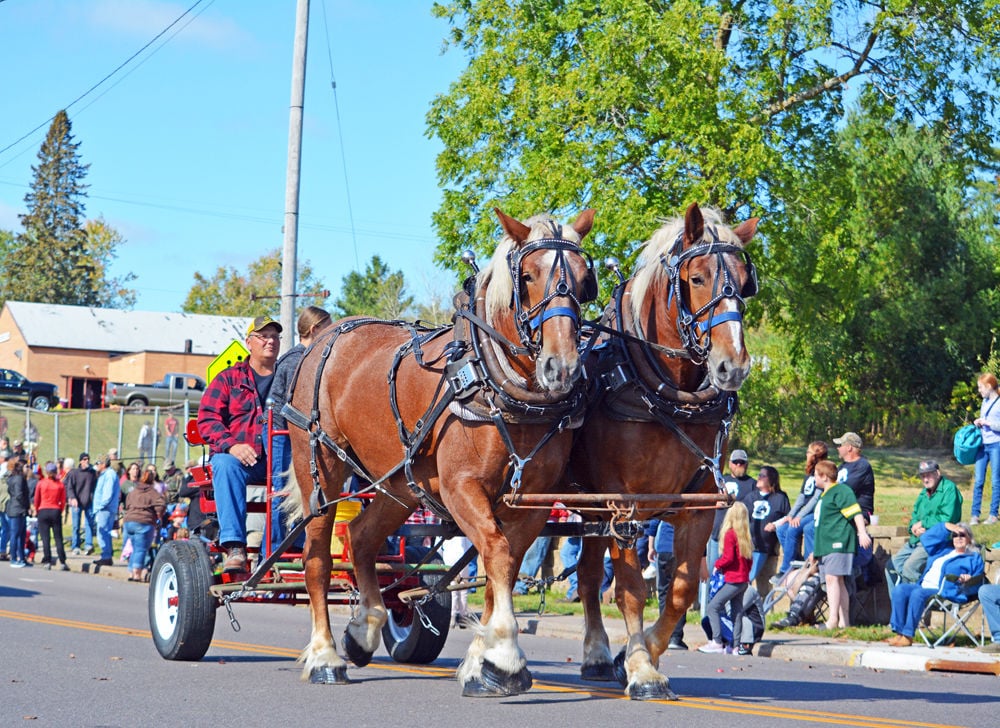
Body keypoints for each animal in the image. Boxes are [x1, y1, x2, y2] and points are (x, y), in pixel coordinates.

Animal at [284, 208, 592, 696]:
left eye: (584, 279)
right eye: (527, 276)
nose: (561, 367)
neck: (491, 380)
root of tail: (328, 335)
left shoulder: (531, 501)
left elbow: (502, 565)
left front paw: (483, 662)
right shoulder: (461, 487)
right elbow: (496, 552)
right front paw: (505, 655)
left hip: (399, 483)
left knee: (362, 537)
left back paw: (364, 628)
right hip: (320, 465)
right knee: (317, 557)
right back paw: (324, 656)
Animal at [572, 203, 756, 700]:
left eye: (745, 280)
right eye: (697, 278)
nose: (732, 366)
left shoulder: (699, 505)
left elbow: (682, 589)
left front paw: (639, 654)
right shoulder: (623, 505)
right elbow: (632, 589)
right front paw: (641, 667)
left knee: (589, 573)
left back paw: (598, 655)